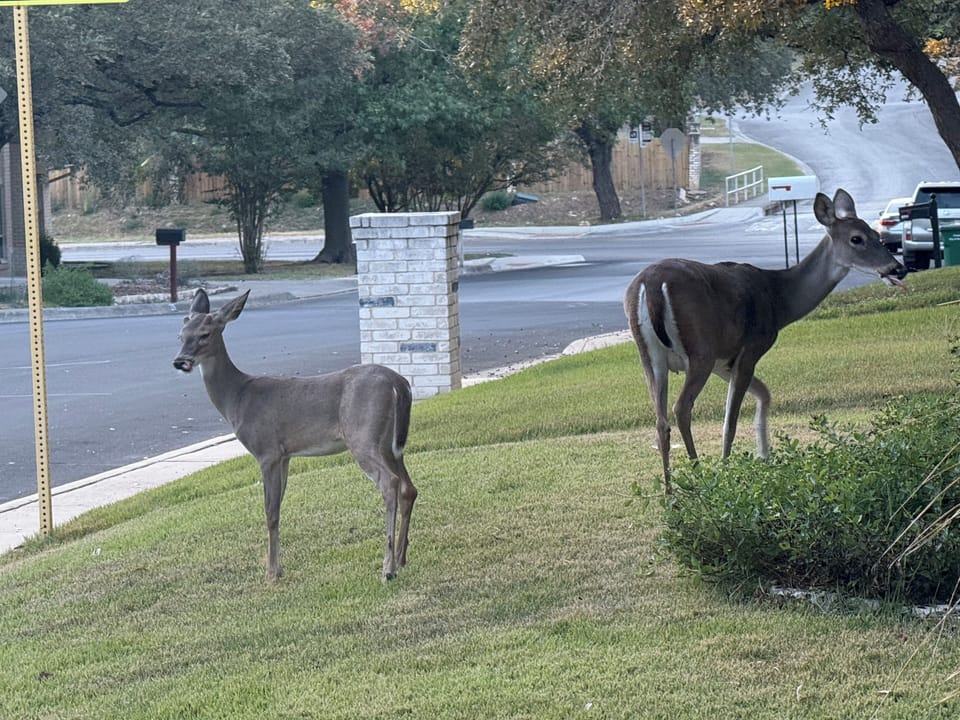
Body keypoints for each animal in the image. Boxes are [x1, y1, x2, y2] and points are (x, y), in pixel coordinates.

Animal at [173, 288, 417, 582]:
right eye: (181, 334)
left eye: (205, 334)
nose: (179, 361)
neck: (238, 398)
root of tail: (398, 383)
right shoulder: (285, 455)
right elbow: (279, 506)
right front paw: (277, 567)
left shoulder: (266, 450)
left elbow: (271, 512)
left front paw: (271, 574)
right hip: (390, 444)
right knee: (408, 488)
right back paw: (401, 558)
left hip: (362, 435)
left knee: (390, 483)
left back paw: (387, 569)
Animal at [624, 188, 907, 494]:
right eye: (857, 238)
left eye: (876, 234)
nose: (897, 268)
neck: (778, 300)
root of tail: (651, 285)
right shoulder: (750, 348)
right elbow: (730, 421)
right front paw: (729, 473)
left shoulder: (725, 362)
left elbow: (764, 394)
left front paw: (764, 458)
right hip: (700, 350)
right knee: (682, 408)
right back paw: (700, 479)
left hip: (650, 357)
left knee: (660, 420)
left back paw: (669, 492)